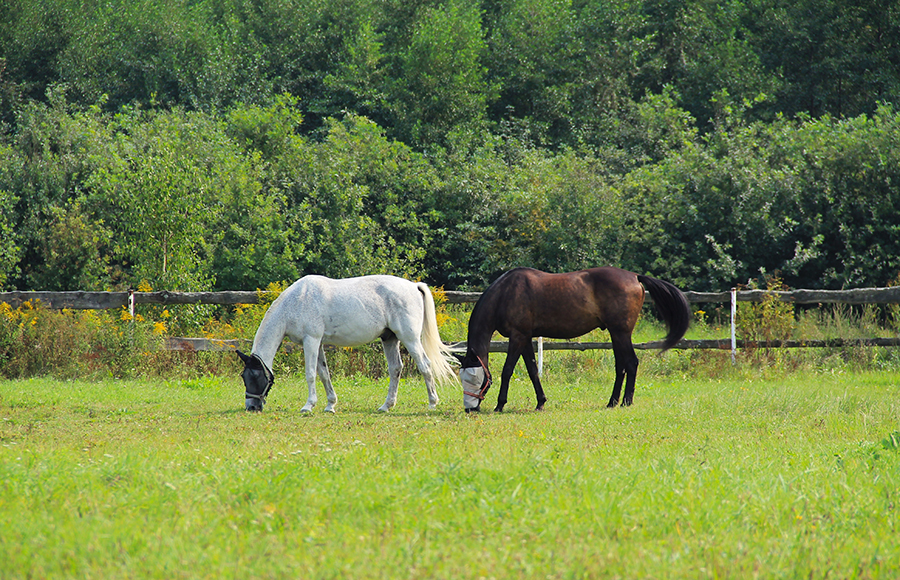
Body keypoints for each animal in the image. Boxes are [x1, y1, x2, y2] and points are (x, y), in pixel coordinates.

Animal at [237, 274, 457, 413]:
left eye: (254, 376)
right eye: (243, 376)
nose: (251, 407)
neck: (296, 302)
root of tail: (414, 286)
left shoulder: (311, 340)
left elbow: (310, 374)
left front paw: (308, 406)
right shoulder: (318, 343)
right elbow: (324, 373)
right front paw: (330, 405)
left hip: (409, 338)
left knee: (425, 365)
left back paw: (432, 403)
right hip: (390, 338)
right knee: (396, 369)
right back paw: (386, 406)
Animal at [457, 267, 691, 412]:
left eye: (473, 378)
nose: (470, 409)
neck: (506, 293)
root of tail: (634, 276)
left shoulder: (517, 337)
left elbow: (507, 370)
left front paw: (500, 405)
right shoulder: (525, 338)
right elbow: (532, 370)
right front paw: (540, 402)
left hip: (621, 332)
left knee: (631, 363)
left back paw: (625, 401)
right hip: (616, 334)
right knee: (621, 366)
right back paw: (612, 402)